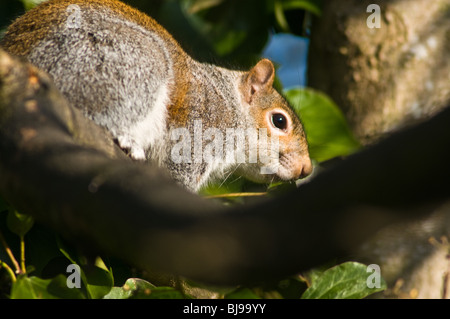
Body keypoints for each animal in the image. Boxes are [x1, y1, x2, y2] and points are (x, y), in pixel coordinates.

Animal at [1, 0, 312, 192]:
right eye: (279, 121)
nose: (307, 168)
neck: (229, 103)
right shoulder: (199, 127)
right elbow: (178, 174)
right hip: (123, 63)